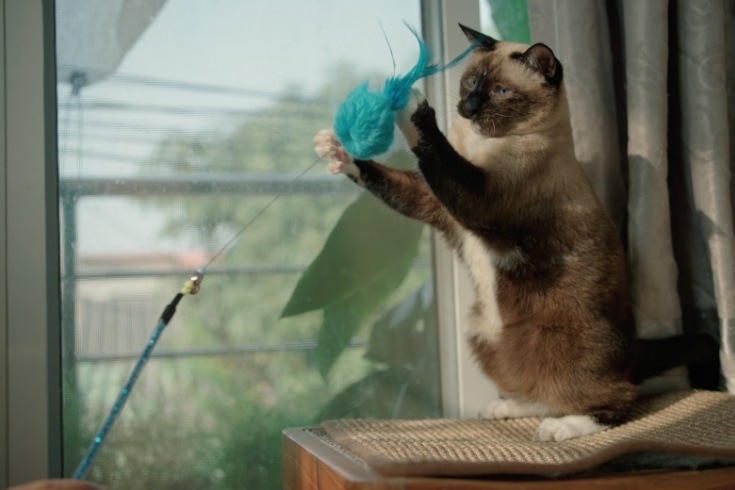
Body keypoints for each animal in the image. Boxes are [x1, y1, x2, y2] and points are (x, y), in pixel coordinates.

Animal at [314, 23, 716, 442]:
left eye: (501, 92)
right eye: (470, 83)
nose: (469, 108)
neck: (482, 143)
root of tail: (634, 348)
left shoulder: (477, 196)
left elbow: (433, 148)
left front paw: (409, 101)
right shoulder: (434, 202)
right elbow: (387, 177)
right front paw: (337, 153)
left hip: (558, 345)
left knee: (618, 396)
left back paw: (562, 428)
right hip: (481, 333)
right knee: (539, 387)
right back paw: (506, 408)